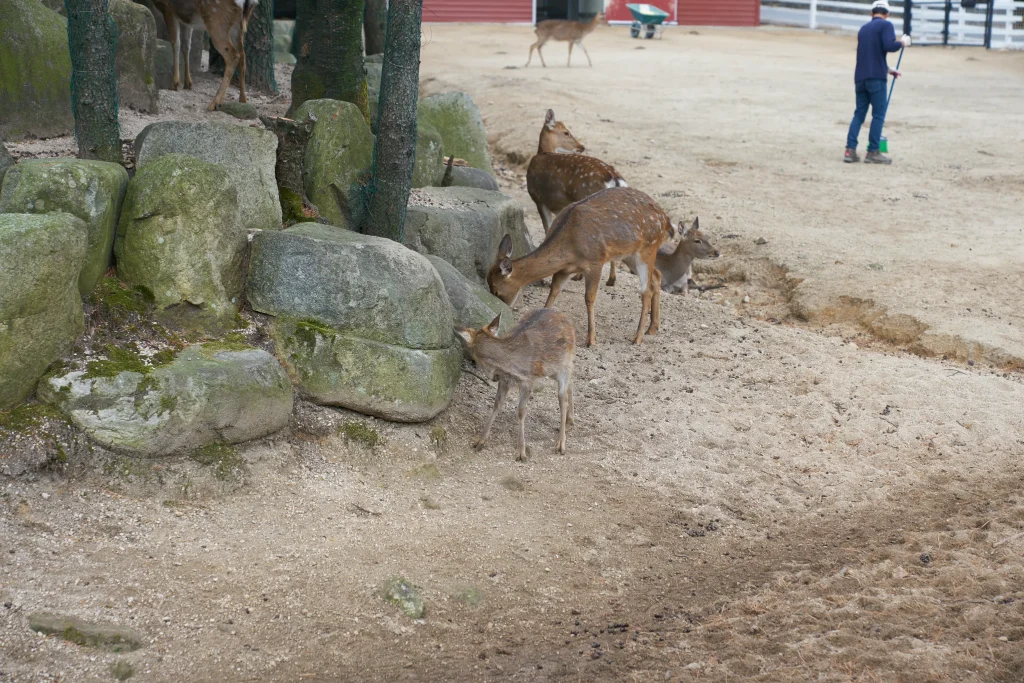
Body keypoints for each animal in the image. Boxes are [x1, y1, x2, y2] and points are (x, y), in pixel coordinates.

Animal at [456, 309, 577, 464]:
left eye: (475, 357)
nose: (493, 377)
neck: (510, 365)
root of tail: (567, 318)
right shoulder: (505, 380)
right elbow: (497, 404)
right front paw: (480, 441)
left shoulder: (527, 380)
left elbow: (520, 411)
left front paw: (521, 453)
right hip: (554, 369)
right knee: (571, 383)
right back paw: (569, 422)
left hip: (563, 364)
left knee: (562, 398)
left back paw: (561, 443)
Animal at [485, 187, 675, 348]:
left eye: (496, 290)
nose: (503, 308)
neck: (570, 246)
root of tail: (665, 220)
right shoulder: (564, 270)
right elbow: (553, 291)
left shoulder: (596, 261)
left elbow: (589, 298)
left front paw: (591, 340)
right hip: (629, 254)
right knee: (656, 276)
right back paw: (652, 328)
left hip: (647, 248)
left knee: (646, 290)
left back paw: (637, 337)